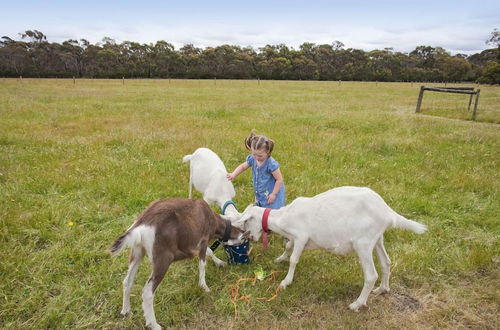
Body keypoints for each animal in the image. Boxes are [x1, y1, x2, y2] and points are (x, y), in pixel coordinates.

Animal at [109, 197, 244, 328]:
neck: (212, 219)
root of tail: (141, 225)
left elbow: (209, 252)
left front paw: (220, 263)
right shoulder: (203, 240)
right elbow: (203, 263)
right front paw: (204, 287)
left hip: (137, 252)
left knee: (127, 281)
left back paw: (126, 311)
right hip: (162, 258)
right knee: (147, 292)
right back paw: (154, 324)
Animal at [233, 187, 426, 310]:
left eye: (246, 222)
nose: (249, 238)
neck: (283, 217)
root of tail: (388, 212)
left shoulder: (301, 236)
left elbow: (294, 259)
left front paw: (285, 282)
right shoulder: (295, 238)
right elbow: (288, 246)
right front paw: (280, 259)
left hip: (363, 243)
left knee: (371, 275)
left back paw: (357, 304)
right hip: (377, 239)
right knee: (386, 262)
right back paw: (382, 289)